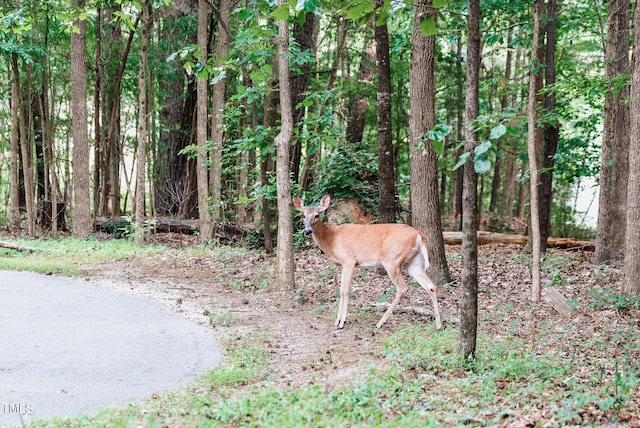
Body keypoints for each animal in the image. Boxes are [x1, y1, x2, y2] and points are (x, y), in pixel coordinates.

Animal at [292, 195, 442, 332]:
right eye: (303, 215)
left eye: (317, 215)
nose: (307, 231)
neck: (332, 239)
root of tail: (420, 235)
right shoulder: (344, 264)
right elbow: (341, 290)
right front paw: (338, 321)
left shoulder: (349, 261)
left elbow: (344, 290)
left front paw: (341, 323)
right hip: (413, 262)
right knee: (431, 286)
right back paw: (439, 325)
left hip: (392, 260)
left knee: (402, 288)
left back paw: (380, 323)